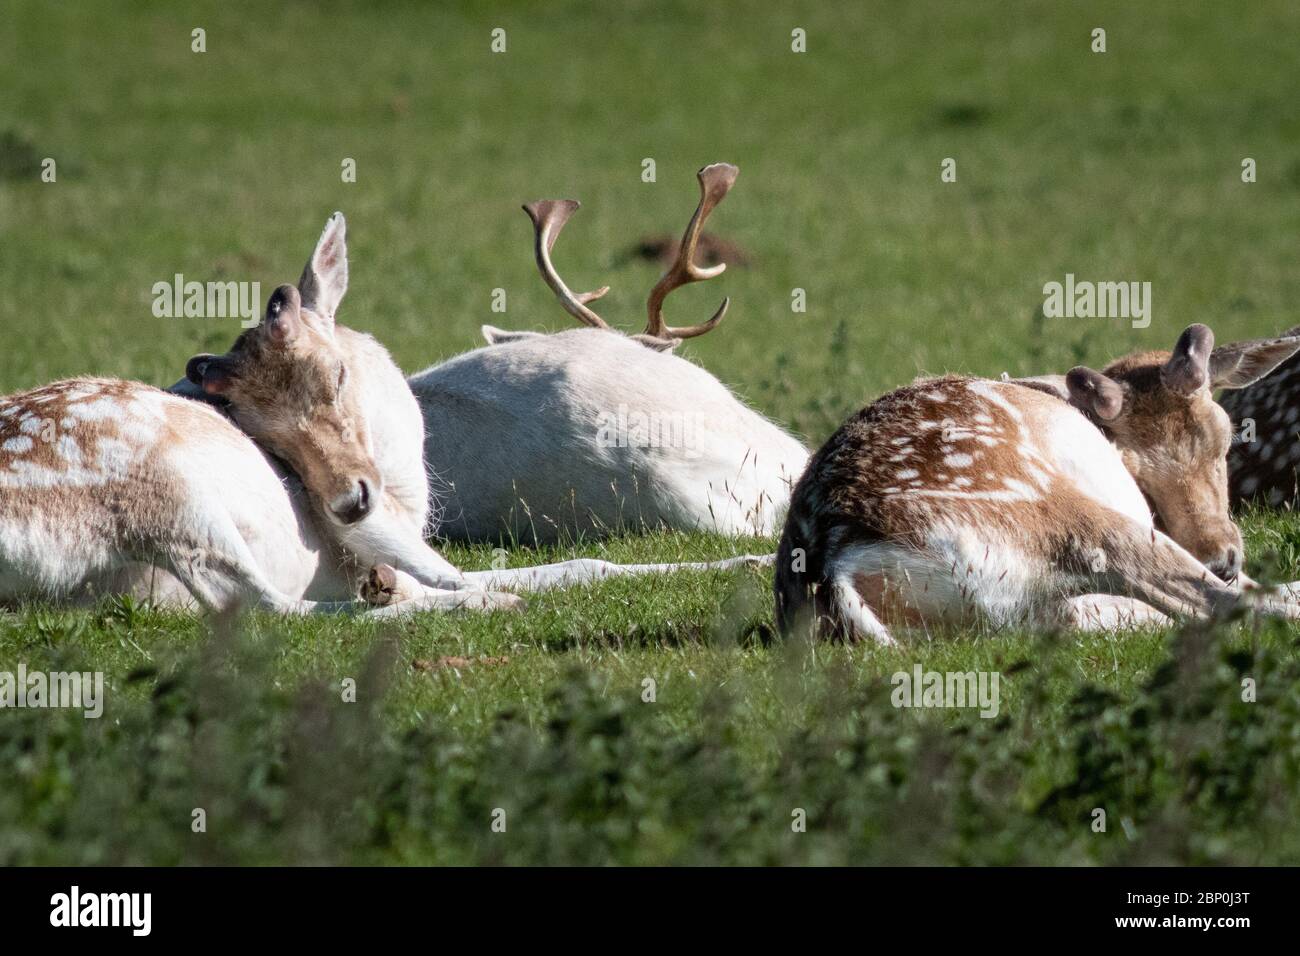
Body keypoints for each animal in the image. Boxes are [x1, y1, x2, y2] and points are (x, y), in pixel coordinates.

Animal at [0, 213, 766, 616]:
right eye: (256, 422)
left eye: (336, 375)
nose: (347, 501)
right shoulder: (381, 534)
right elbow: (577, 565)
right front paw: (756, 560)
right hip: (168, 495)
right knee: (268, 605)